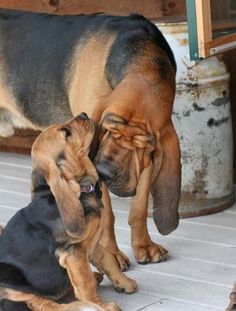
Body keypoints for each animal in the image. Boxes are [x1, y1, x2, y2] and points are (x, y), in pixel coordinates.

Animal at [0, 9, 182, 268]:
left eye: (141, 145)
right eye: (108, 130)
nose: (104, 172)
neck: (143, 62)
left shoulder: (148, 160)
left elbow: (139, 207)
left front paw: (143, 246)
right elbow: (107, 215)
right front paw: (112, 255)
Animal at [0, 115, 136, 311]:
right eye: (66, 132)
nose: (84, 114)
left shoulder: (91, 244)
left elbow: (108, 261)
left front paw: (124, 283)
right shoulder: (73, 252)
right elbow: (86, 281)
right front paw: (100, 305)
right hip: (11, 280)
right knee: (46, 305)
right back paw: (85, 305)